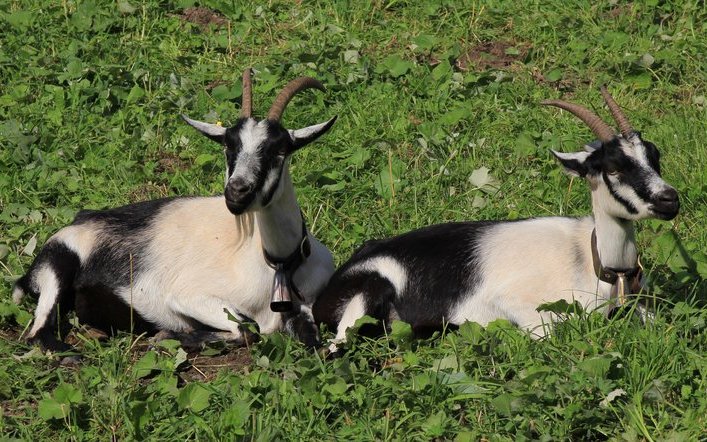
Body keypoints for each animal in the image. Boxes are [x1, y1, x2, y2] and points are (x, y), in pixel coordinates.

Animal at [12, 69, 338, 352]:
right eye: (228, 147)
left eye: (279, 150)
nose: (236, 192)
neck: (274, 262)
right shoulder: (187, 296)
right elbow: (245, 330)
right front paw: (171, 335)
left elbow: (312, 340)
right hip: (58, 263)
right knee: (37, 332)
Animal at [314, 87, 680, 348]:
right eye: (613, 168)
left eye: (654, 156)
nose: (669, 200)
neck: (591, 262)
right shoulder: (520, 306)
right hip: (366, 295)